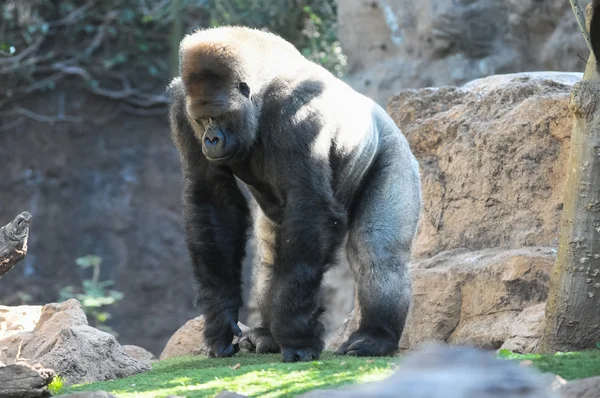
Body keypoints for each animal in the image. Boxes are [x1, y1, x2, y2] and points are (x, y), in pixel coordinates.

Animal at [166, 26, 424, 362]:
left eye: (219, 116)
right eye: (201, 119)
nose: (210, 139)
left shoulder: (298, 111)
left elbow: (309, 206)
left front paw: (297, 335)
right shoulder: (180, 107)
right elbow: (213, 202)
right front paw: (220, 317)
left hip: (395, 151)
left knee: (378, 251)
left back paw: (375, 337)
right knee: (270, 256)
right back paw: (266, 335)